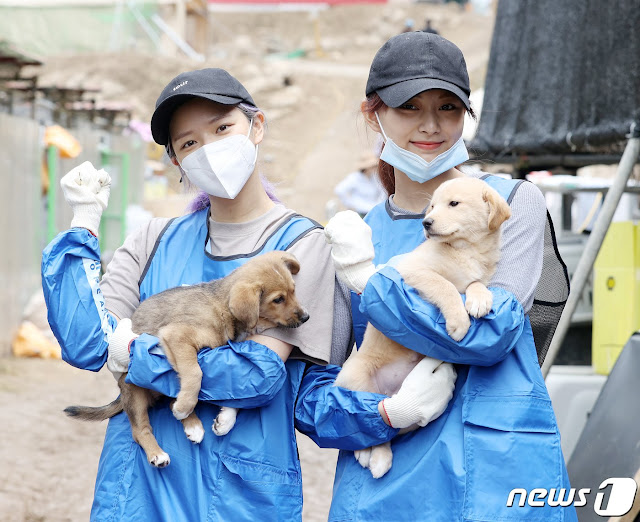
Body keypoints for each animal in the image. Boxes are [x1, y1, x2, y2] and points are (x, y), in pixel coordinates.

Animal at [63, 250, 308, 466]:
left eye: (295, 290)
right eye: (278, 299)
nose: (306, 317)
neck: (221, 307)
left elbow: (242, 394)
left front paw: (226, 420)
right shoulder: (177, 336)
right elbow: (194, 373)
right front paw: (186, 405)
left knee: (171, 399)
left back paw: (193, 426)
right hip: (134, 392)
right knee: (140, 430)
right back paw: (159, 451)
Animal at [332, 177, 512, 478]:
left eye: (454, 204)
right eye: (431, 206)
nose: (426, 223)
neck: (466, 249)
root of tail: (392, 392)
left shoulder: (476, 275)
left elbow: (474, 283)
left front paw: (480, 300)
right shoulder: (413, 270)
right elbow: (446, 286)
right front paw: (459, 323)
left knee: (388, 426)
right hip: (356, 378)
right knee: (370, 423)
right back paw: (375, 458)